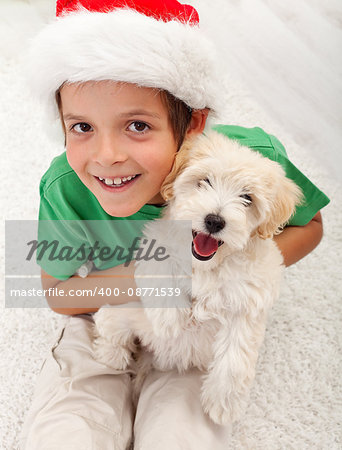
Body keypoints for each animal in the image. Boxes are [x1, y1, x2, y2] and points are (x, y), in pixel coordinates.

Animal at [93, 130, 302, 426]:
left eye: (247, 198)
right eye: (204, 181)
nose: (214, 220)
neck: (207, 266)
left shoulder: (248, 301)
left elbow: (235, 358)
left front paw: (222, 404)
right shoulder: (155, 242)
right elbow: (161, 267)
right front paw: (170, 319)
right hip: (124, 314)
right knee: (110, 328)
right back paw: (111, 356)